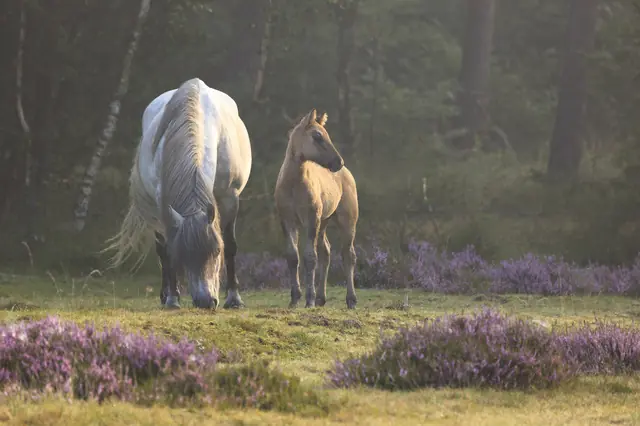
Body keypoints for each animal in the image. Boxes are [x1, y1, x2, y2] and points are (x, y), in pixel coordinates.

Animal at [105, 78, 252, 310]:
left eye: (215, 252)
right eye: (184, 255)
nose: (205, 301)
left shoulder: (231, 197)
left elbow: (230, 245)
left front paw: (234, 298)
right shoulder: (162, 204)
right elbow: (167, 251)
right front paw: (173, 298)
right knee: (160, 248)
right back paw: (165, 295)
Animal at [274, 109, 359, 309]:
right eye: (317, 136)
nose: (338, 162)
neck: (293, 185)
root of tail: (348, 174)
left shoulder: (311, 220)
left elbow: (309, 257)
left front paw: (309, 299)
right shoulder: (287, 221)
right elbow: (293, 257)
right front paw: (294, 298)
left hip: (346, 221)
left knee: (348, 255)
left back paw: (351, 300)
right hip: (324, 222)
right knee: (326, 252)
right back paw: (321, 297)